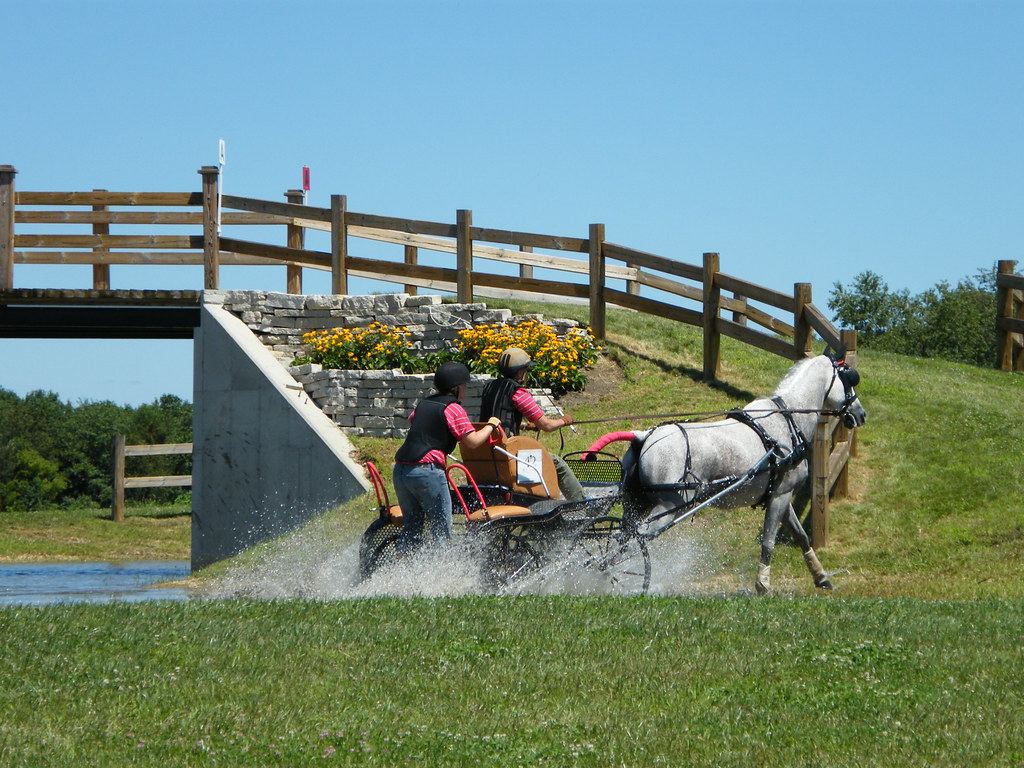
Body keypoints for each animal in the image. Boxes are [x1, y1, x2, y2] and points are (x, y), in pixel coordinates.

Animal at [586, 350, 866, 595]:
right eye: (849, 379)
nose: (861, 414)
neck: (788, 420)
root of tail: (644, 436)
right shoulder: (781, 495)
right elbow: (768, 541)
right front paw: (763, 585)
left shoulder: (781, 495)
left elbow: (802, 537)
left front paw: (821, 577)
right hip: (667, 507)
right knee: (631, 542)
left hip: (637, 504)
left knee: (621, 536)